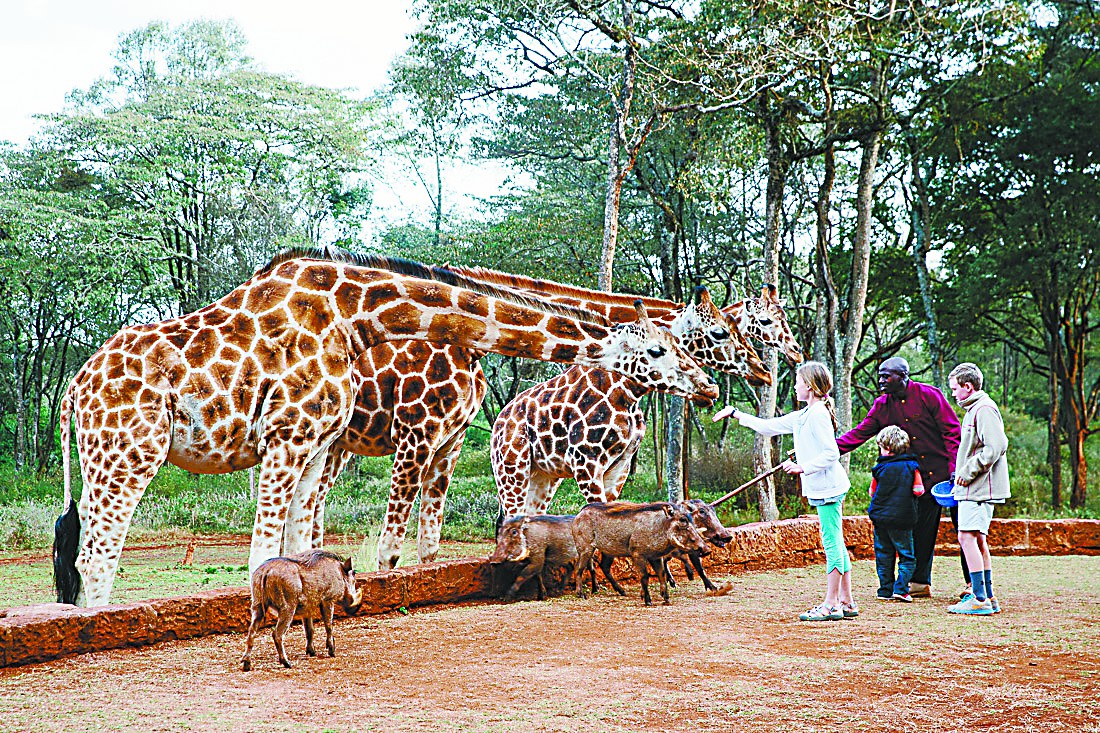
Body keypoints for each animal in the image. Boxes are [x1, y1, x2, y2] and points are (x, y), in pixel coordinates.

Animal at [55, 248, 717, 603]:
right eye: (657, 350)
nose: (708, 387)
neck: (356, 315)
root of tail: (70, 394)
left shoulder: (317, 445)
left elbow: (302, 547)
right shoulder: (293, 438)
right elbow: (272, 553)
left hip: (107, 458)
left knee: (83, 553)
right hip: (128, 452)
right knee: (96, 556)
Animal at [299, 277, 765, 567]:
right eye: (721, 332)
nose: (711, 388)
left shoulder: (450, 442)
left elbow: (429, 545)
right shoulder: (417, 437)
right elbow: (393, 548)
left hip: (338, 445)